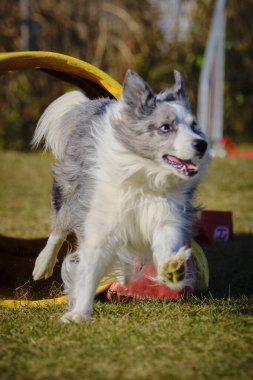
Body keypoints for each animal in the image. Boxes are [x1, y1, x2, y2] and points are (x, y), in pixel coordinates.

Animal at [31, 70, 210, 322]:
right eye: (165, 127)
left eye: (194, 126)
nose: (202, 144)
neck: (145, 175)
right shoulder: (100, 220)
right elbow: (88, 271)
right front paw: (78, 314)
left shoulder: (166, 213)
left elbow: (167, 240)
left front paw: (173, 269)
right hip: (67, 190)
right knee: (58, 229)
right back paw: (42, 266)